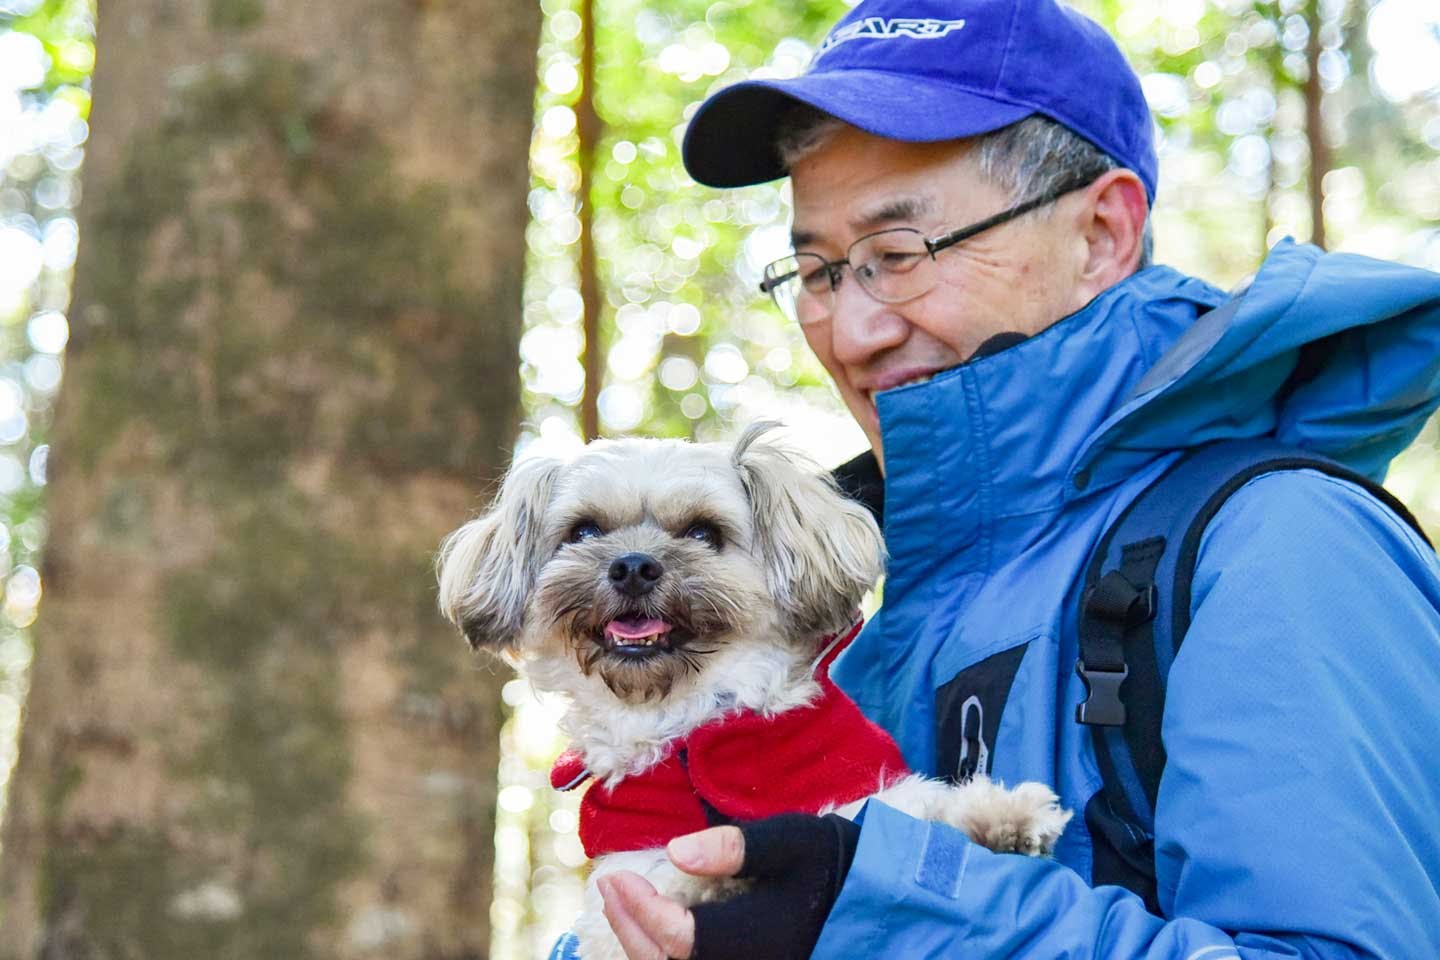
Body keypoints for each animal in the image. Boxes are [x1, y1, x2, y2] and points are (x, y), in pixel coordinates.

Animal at [437, 426, 1071, 960]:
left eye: (703, 533)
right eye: (584, 531)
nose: (633, 566)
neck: (688, 718)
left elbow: (902, 807)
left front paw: (999, 813)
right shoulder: (620, 881)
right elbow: (659, 872)